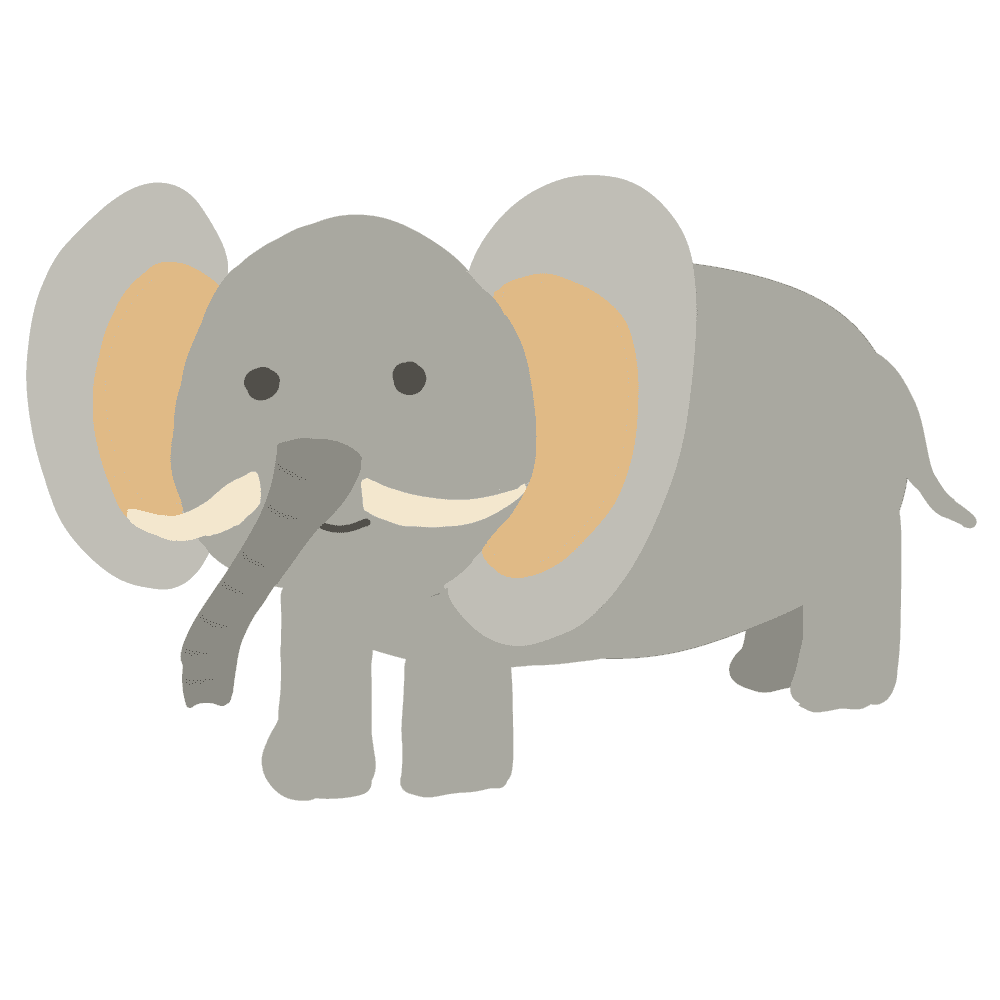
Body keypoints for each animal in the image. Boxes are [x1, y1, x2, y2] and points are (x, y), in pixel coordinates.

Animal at [26, 175, 976, 801]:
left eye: (412, 380)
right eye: (258, 385)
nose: (203, 703)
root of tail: (890, 375)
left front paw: (447, 794)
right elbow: (323, 645)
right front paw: (310, 789)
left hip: (857, 505)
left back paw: (832, 703)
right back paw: (757, 683)